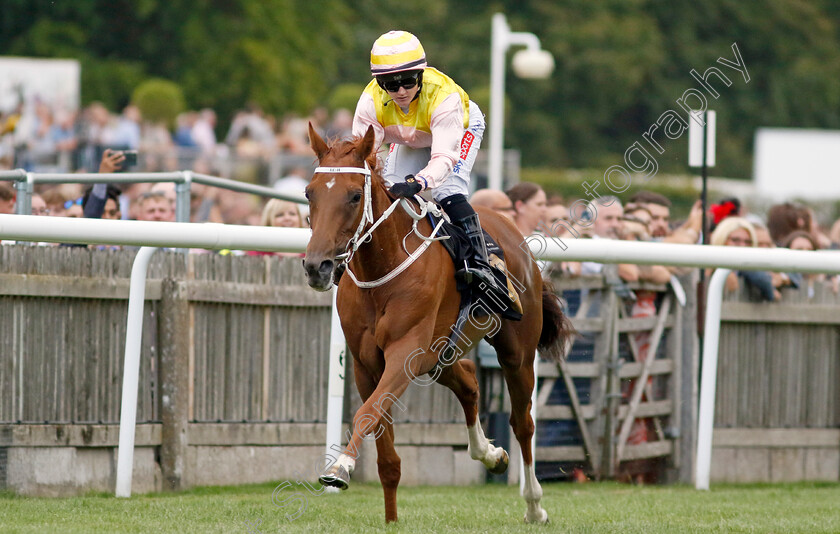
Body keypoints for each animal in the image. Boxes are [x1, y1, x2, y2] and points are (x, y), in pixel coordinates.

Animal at [300, 123, 572, 524]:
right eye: (310, 193)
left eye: (354, 196)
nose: (316, 266)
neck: (382, 269)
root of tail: (514, 231)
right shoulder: (368, 363)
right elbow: (384, 445)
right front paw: (391, 520)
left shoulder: (404, 354)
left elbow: (367, 413)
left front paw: (340, 467)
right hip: (437, 355)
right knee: (469, 382)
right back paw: (490, 454)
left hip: (516, 352)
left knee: (523, 423)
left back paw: (534, 505)